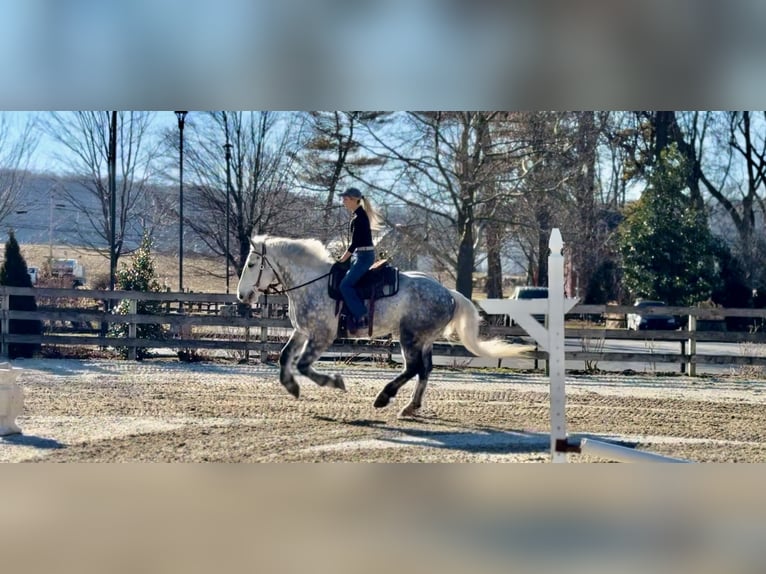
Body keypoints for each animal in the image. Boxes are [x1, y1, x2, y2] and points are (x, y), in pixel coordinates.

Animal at [236, 235, 529, 418]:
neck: (312, 282)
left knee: (413, 368)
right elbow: (285, 356)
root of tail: (448, 293)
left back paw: (384, 397)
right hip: (424, 340)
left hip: (409, 337)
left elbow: (304, 365)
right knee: (425, 370)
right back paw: (411, 406)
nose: (241, 295)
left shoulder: (321, 335)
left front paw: (334, 382)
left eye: (251, 263)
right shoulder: (302, 331)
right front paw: (291, 386)